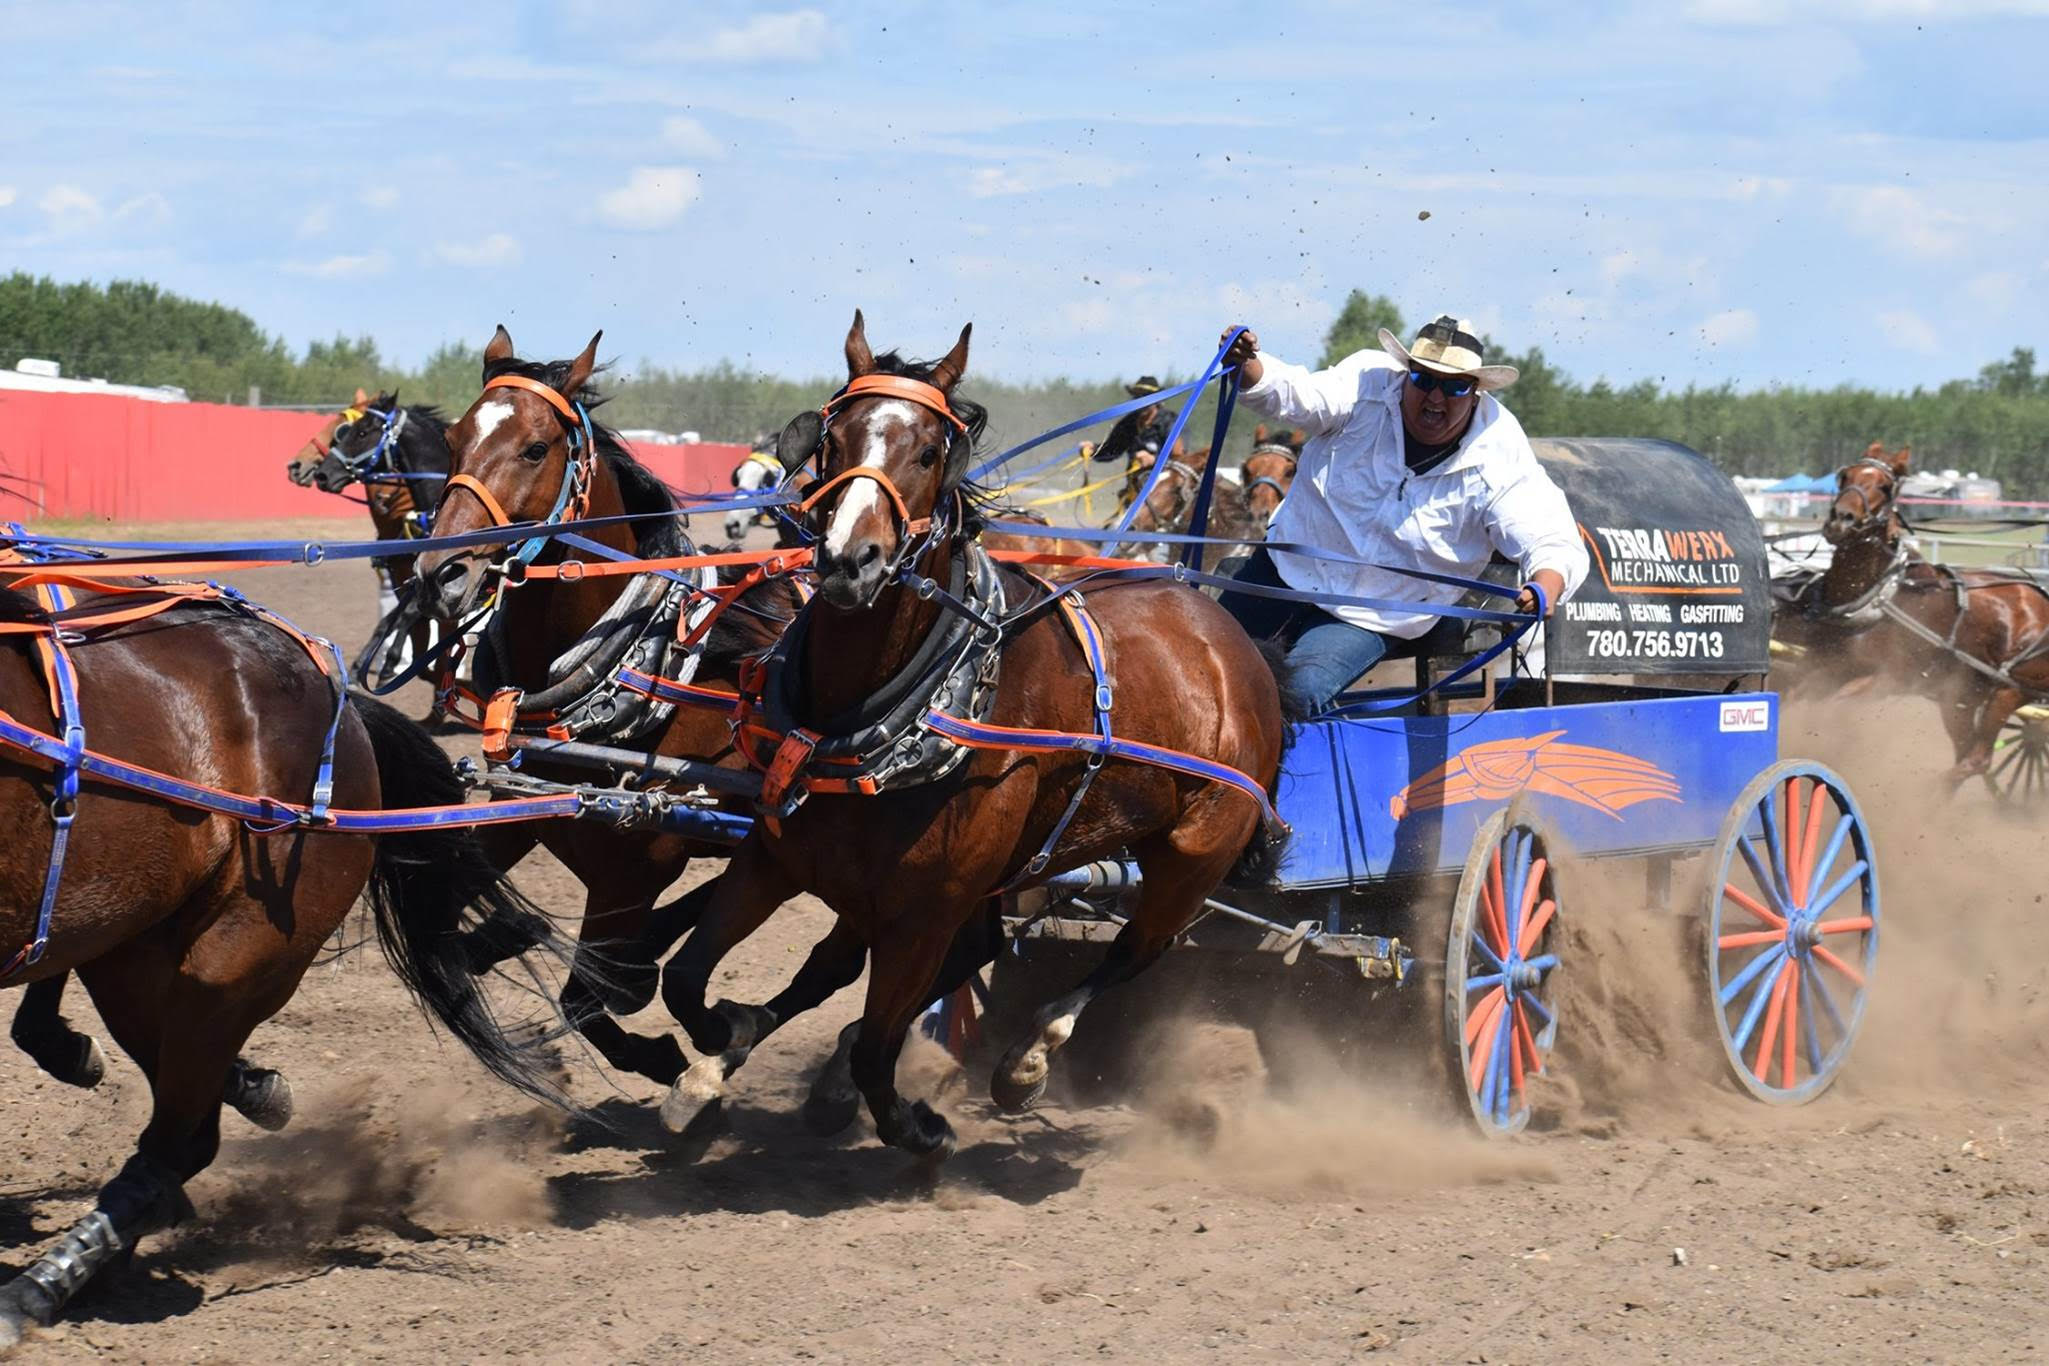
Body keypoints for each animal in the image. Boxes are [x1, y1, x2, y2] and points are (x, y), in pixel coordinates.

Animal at [407, 327, 799, 1089]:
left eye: (536, 448)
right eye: (455, 437)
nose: (442, 572)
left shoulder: (639, 864)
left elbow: (586, 996)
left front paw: (670, 1057)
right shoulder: (516, 817)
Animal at [651, 315, 1278, 1163]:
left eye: (927, 451)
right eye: (831, 438)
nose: (849, 561)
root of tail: (1227, 633)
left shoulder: (924, 905)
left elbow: (878, 1044)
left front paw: (916, 1125)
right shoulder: (776, 857)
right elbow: (688, 980)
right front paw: (721, 1048)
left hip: (1191, 858)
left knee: (1134, 951)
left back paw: (1026, 1064)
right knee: (932, 955)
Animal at [1770, 446, 2049, 790]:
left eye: (1885, 486)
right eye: (1844, 476)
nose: (1841, 520)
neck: (1876, 597)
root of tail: (2038, 597)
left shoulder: (1881, 680)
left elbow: (1824, 710)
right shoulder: (1818, 666)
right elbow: (1791, 698)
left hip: (2009, 690)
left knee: (1978, 758)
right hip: (1961, 697)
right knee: (1967, 754)